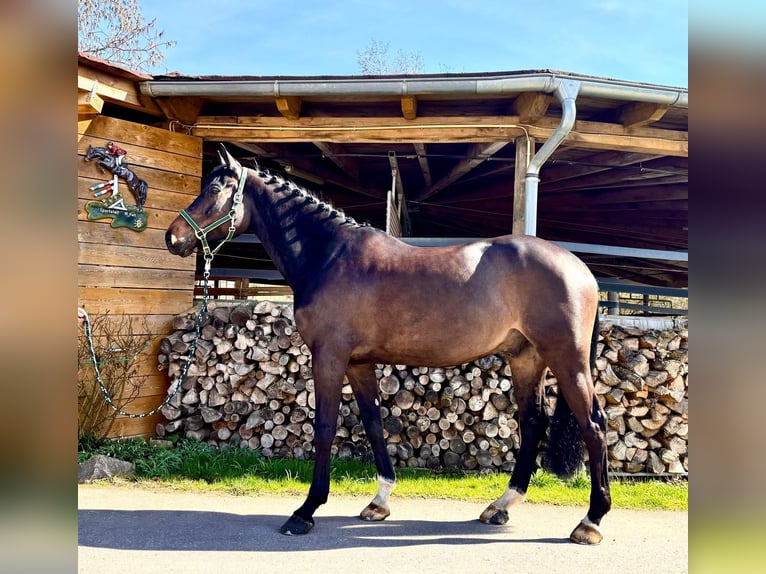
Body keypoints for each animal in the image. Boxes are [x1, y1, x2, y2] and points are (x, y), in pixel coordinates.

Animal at [166, 144, 610, 545]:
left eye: (216, 189)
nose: (173, 237)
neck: (329, 256)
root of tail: (578, 267)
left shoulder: (329, 357)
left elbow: (324, 428)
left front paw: (305, 511)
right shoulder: (358, 363)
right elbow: (374, 423)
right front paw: (378, 502)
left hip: (566, 359)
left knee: (593, 425)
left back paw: (590, 522)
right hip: (526, 359)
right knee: (533, 422)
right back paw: (501, 505)